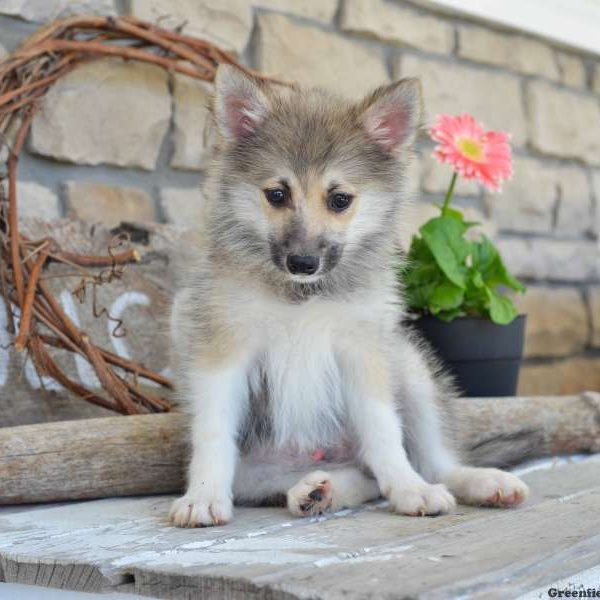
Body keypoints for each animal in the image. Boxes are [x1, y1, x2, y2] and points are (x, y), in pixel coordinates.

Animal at [166, 63, 528, 528]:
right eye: (277, 194)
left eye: (340, 199)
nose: (303, 262)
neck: (303, 297)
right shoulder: (222, 349)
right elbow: (212, 433)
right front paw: (203, 495)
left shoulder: (362, 353)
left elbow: (384, 433)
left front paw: (408, 489)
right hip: (257, 463)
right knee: (352, 475)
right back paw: (316, 490)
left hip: (410, 367)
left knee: (431, 463)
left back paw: (474, 482)